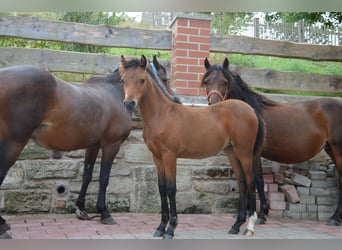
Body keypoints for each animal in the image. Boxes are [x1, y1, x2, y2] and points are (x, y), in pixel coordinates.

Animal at [0, 64, 132, 238]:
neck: (114, 91)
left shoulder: (93, 145)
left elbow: (87, 176)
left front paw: (81, 210)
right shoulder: (112, 144)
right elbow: (104, 178)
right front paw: (104, 213)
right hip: (14, 144)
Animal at [119, 54, 266, 238]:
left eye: (142, 79)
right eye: (124, 79)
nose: (129, 104)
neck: (162, 115)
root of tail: (250, 110)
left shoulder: (170, 156)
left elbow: (171, 189)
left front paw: (171, 229)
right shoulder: (157, 157)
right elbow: (161, 188)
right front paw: (160, 228)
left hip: (244, 152)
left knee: (251, 182)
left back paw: (250, 226)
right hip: (232, 152)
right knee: (242, 183)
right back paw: (236, 225)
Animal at [202, 57, 342, 228]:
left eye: (224, 81)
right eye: (206, 81)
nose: (214, 104)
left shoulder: (253, 154)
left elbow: (256, 181)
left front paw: (259, 214)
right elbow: (254, 180)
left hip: (338, 150)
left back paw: (335, 218)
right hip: (331, 150)